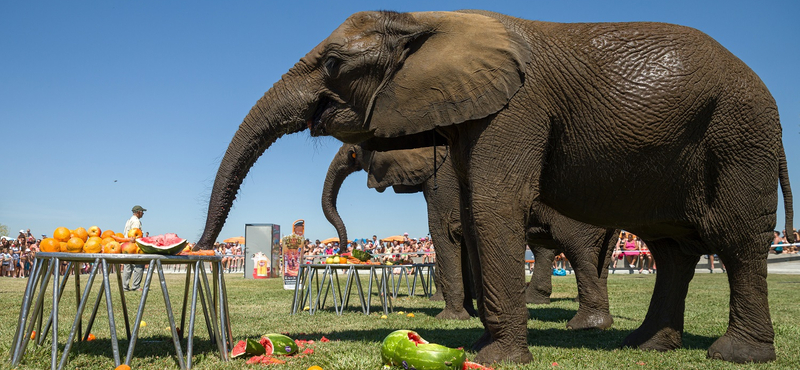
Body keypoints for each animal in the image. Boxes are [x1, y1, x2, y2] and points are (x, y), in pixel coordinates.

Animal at [322, 144, 616, 330]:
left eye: (354, 151)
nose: (343, 250)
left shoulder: (442, 178)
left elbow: (444, 232)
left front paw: (449, 318)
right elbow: (462, 237)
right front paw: (470, 312)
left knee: (577, 251)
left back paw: (584, 325)